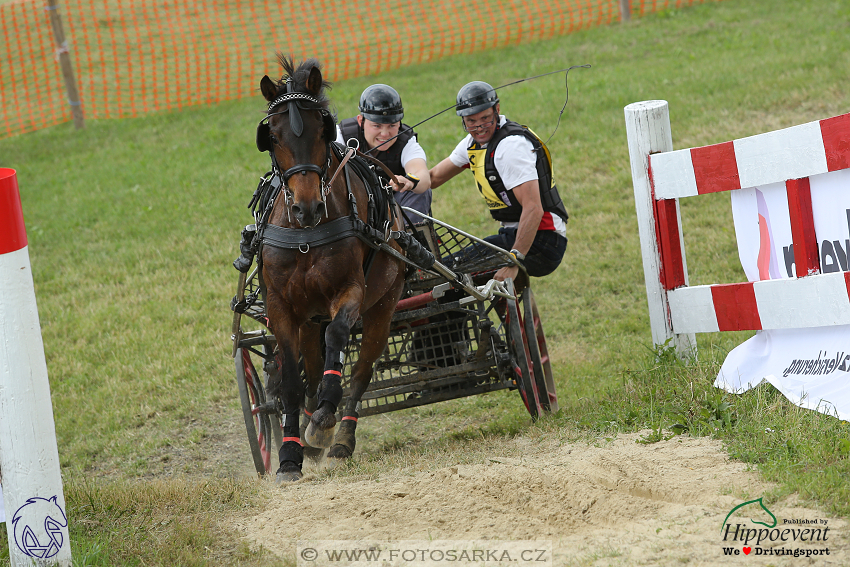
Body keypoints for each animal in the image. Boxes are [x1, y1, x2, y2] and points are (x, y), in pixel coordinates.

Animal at [255, 56, 404, 484]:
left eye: (322, 128)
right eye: (272, 136)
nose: (306, 207)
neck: (306, 234)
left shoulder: (350, 291)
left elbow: (339, 338)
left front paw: (323, 419)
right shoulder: (281, 308)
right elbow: (291, 381)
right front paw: (290, 455)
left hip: (383, 307)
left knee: (362, 370)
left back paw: (339, 439)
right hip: (308, 321)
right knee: (311, 364)